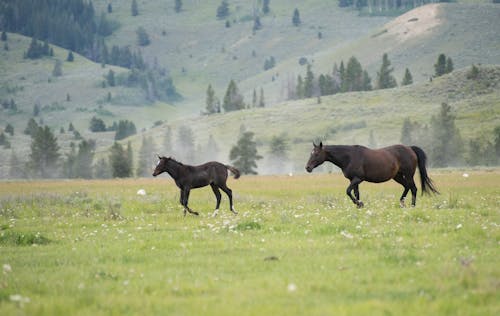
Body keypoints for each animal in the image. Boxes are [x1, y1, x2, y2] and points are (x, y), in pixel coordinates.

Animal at [304, 143, 438, 207]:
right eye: (311, 153)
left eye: (316, 154)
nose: (307, 167)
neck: (349, 157)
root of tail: (410, 149)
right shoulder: (353, 180)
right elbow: (356, 193)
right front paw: (359, 205)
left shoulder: (358, 179)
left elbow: (348, 191)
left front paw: (360, 204)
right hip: (397, 176)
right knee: (407, 187)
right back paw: (401, 203)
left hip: (408, 174)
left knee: (413, 188)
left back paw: (412, 205)